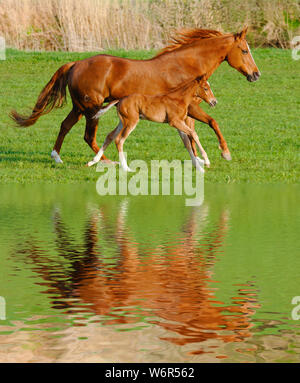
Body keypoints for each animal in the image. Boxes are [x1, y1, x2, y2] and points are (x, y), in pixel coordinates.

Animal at [88, 76, 217, 172]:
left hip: (122, 122)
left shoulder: (179, 124)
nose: (214, 102)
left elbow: (187, 143)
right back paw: (126, 168)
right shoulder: (174, 122)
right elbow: (194, 134)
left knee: (110, 136)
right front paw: (206, 161)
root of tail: (121, 99)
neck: (179, 99)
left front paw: (199, 168)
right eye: (205, 88)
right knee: (119, 140)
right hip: (131, 122)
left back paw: (93, 161)